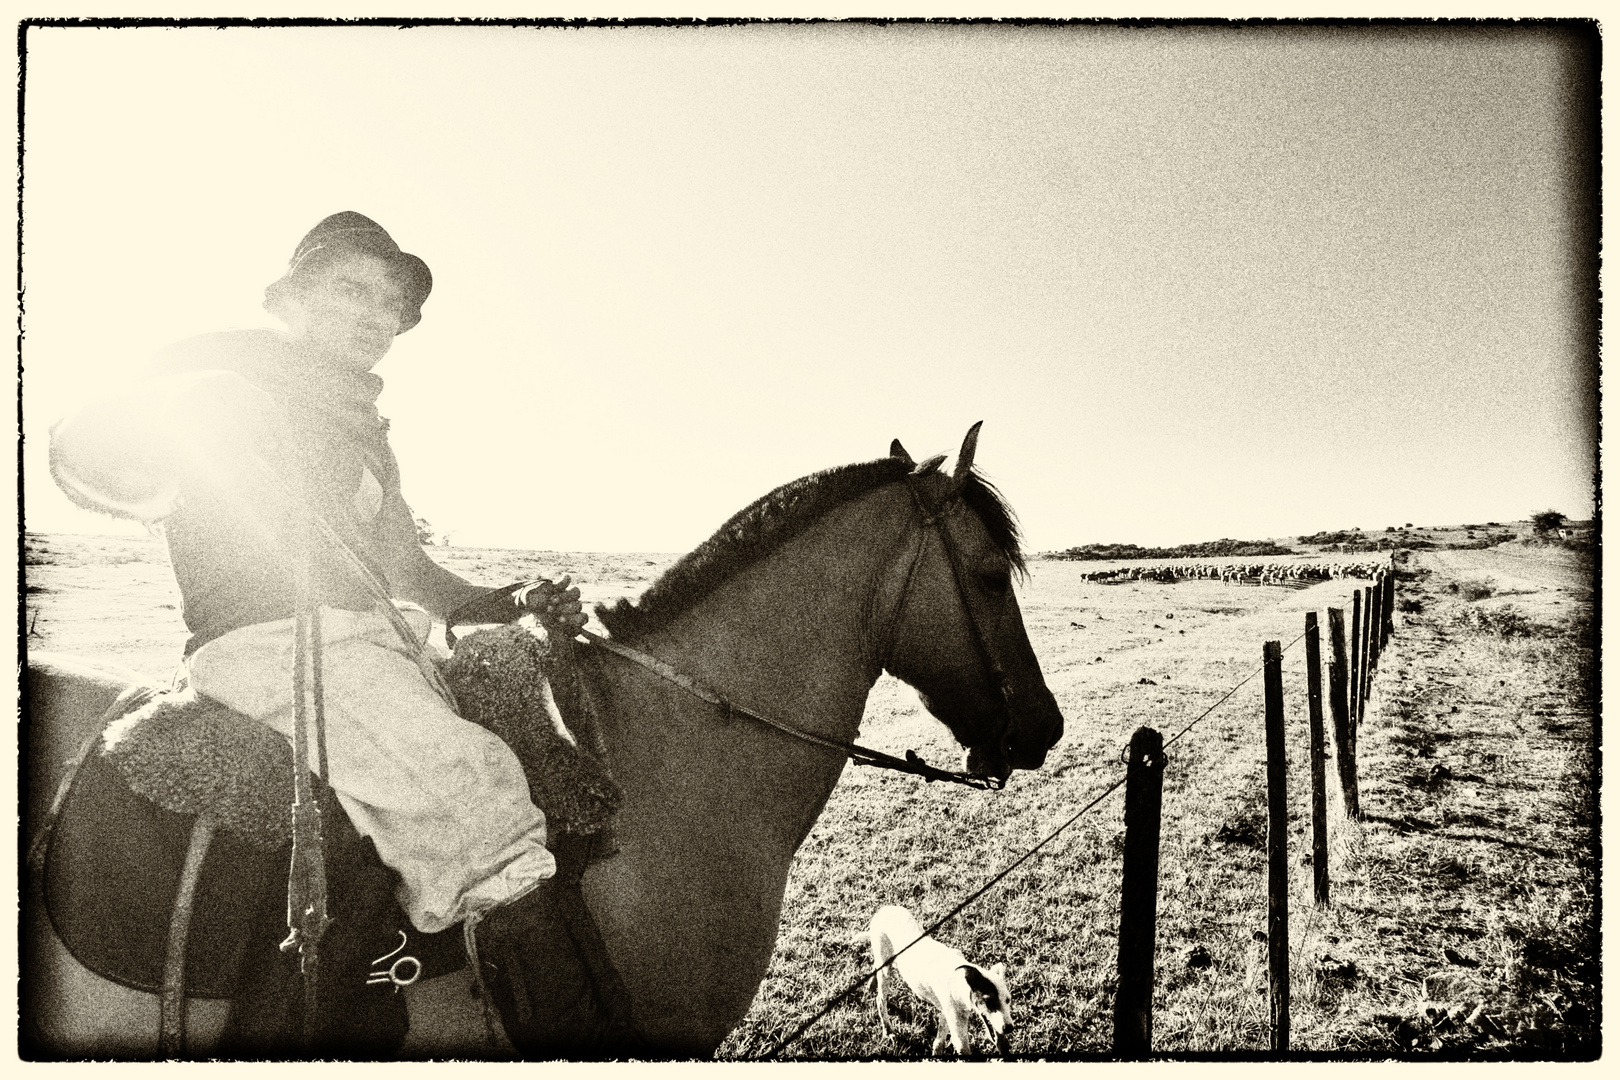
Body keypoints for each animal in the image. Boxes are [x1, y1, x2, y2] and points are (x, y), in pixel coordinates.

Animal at [861, 906, 1010, 1055]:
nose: (1009, 1028)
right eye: (989, 1001)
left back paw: (870, 985)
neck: (958, 983)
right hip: (885, 968)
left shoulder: (947, 1013)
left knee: (875, 967)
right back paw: (888, 1031)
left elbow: (940, 1039)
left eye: (1008, 1000)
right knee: (880, 999)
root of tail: (884, 909)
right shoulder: (959, 1032)